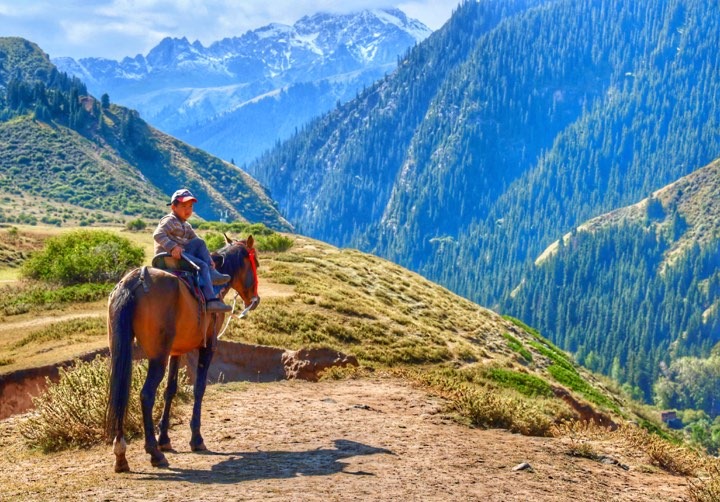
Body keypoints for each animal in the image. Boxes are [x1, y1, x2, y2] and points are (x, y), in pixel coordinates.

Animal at [105, 233, 260, 472]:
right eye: (256, 264)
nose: (254, 300)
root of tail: (134, 281)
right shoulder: (208, 346)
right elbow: (199, 388)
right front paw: (196, 439)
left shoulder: (175, 351)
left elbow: (170, 390)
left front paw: (165, 439)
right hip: (157, 356)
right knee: (146, 395)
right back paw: (154, 453)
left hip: (121, 349)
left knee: (121, 389)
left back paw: (121, 455)